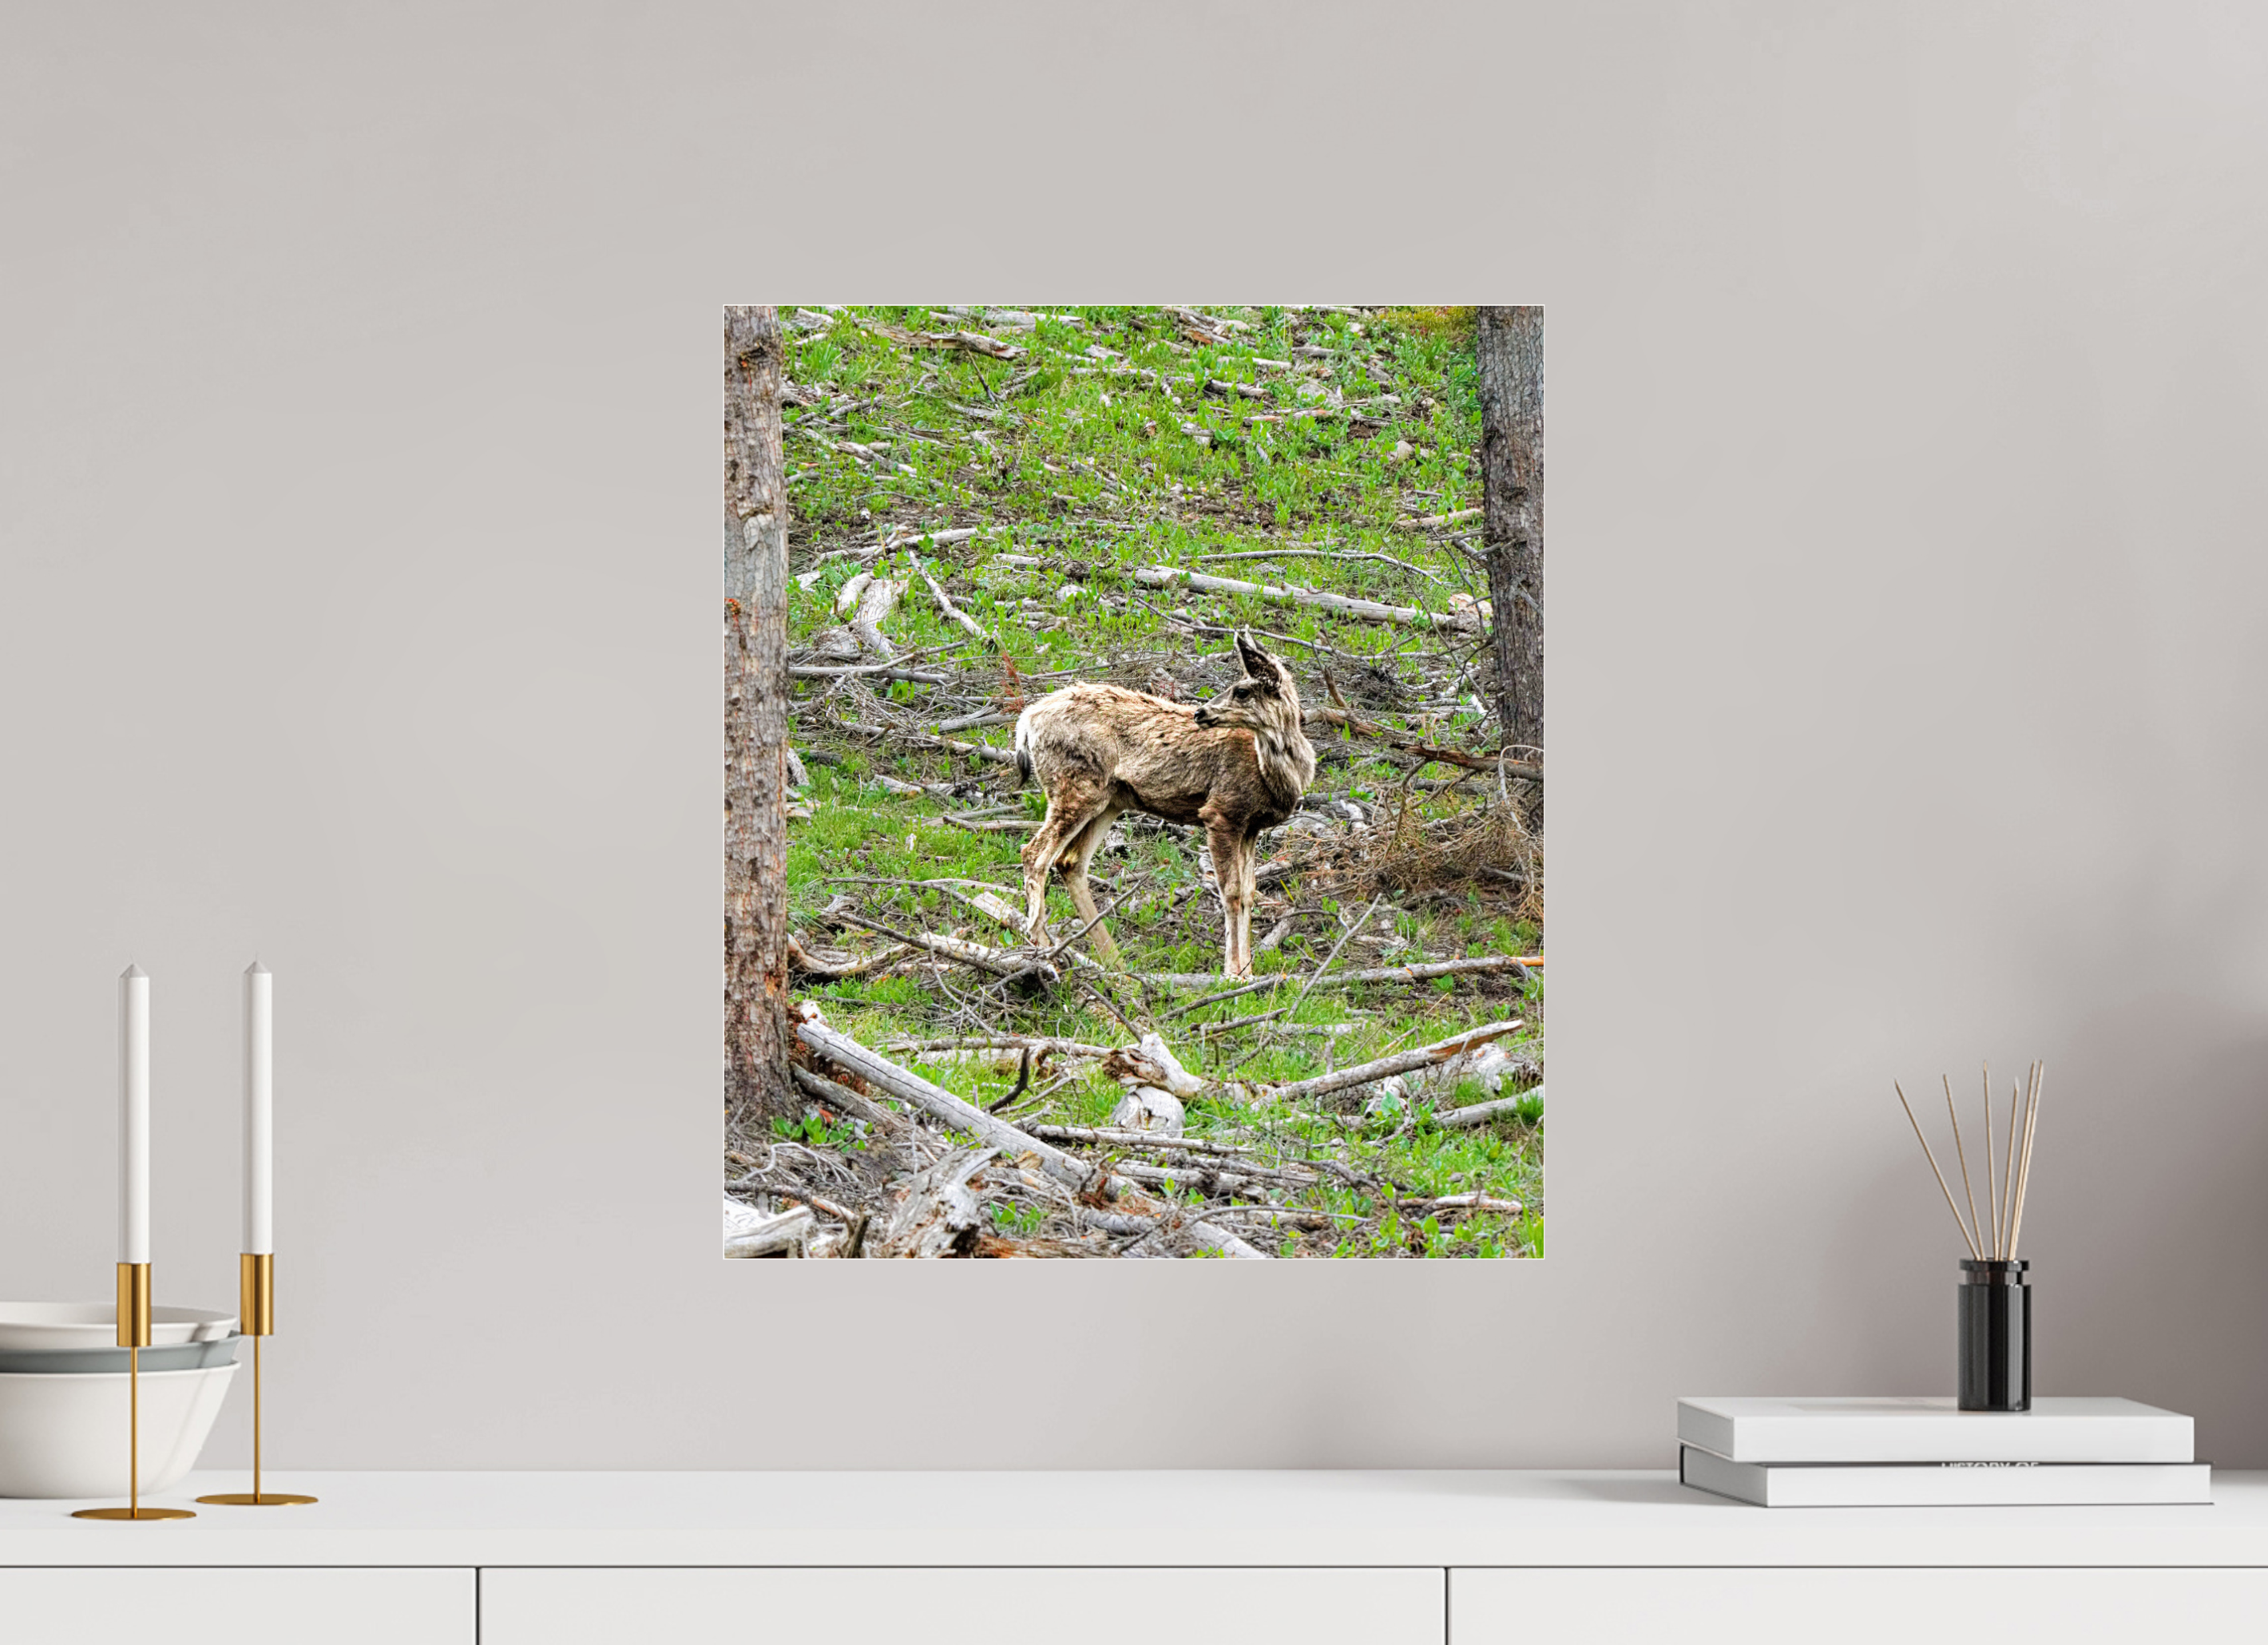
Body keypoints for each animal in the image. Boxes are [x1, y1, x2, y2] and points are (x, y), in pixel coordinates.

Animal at [1014, 631, 1317, 979]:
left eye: (1241, 690)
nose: (1200, 713)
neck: (1274, 774)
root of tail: (1026, 721)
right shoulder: (1221, 812)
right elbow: (1231, 892)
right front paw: (1233, 973)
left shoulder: (1250, 826)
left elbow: (1249, 892)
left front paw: (1249, 973)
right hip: (1075, 786)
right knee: (1034, 853)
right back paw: (1044, 954)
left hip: (1110, 799)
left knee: (1069, 861)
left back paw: (1116, 965)